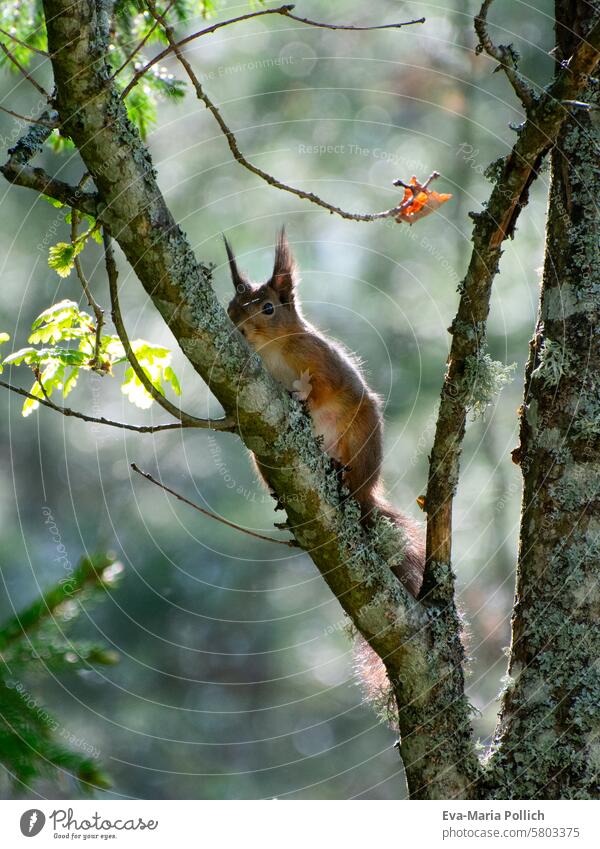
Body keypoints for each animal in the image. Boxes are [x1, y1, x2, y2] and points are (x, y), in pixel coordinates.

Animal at [225, 229, 426, 600]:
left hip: (360, 440)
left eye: (268, 308)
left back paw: (344, 479)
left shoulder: (323, 362)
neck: (272, 350)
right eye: (231, 307)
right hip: (261, 458)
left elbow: (323, 388)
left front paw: (303, 396)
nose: (239, 330)